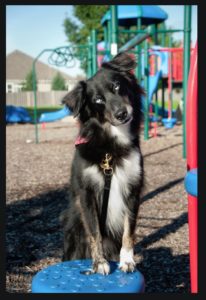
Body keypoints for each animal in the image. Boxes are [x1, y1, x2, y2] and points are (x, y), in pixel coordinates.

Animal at [61, 51, 144, 274]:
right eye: (98, 99)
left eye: (117, 86)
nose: (122, 114)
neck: (110, 148)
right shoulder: (87, 193)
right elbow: (94, 232)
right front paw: (99, 263)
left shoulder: (133, 189)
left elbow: (129, 230)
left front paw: (127, 260)